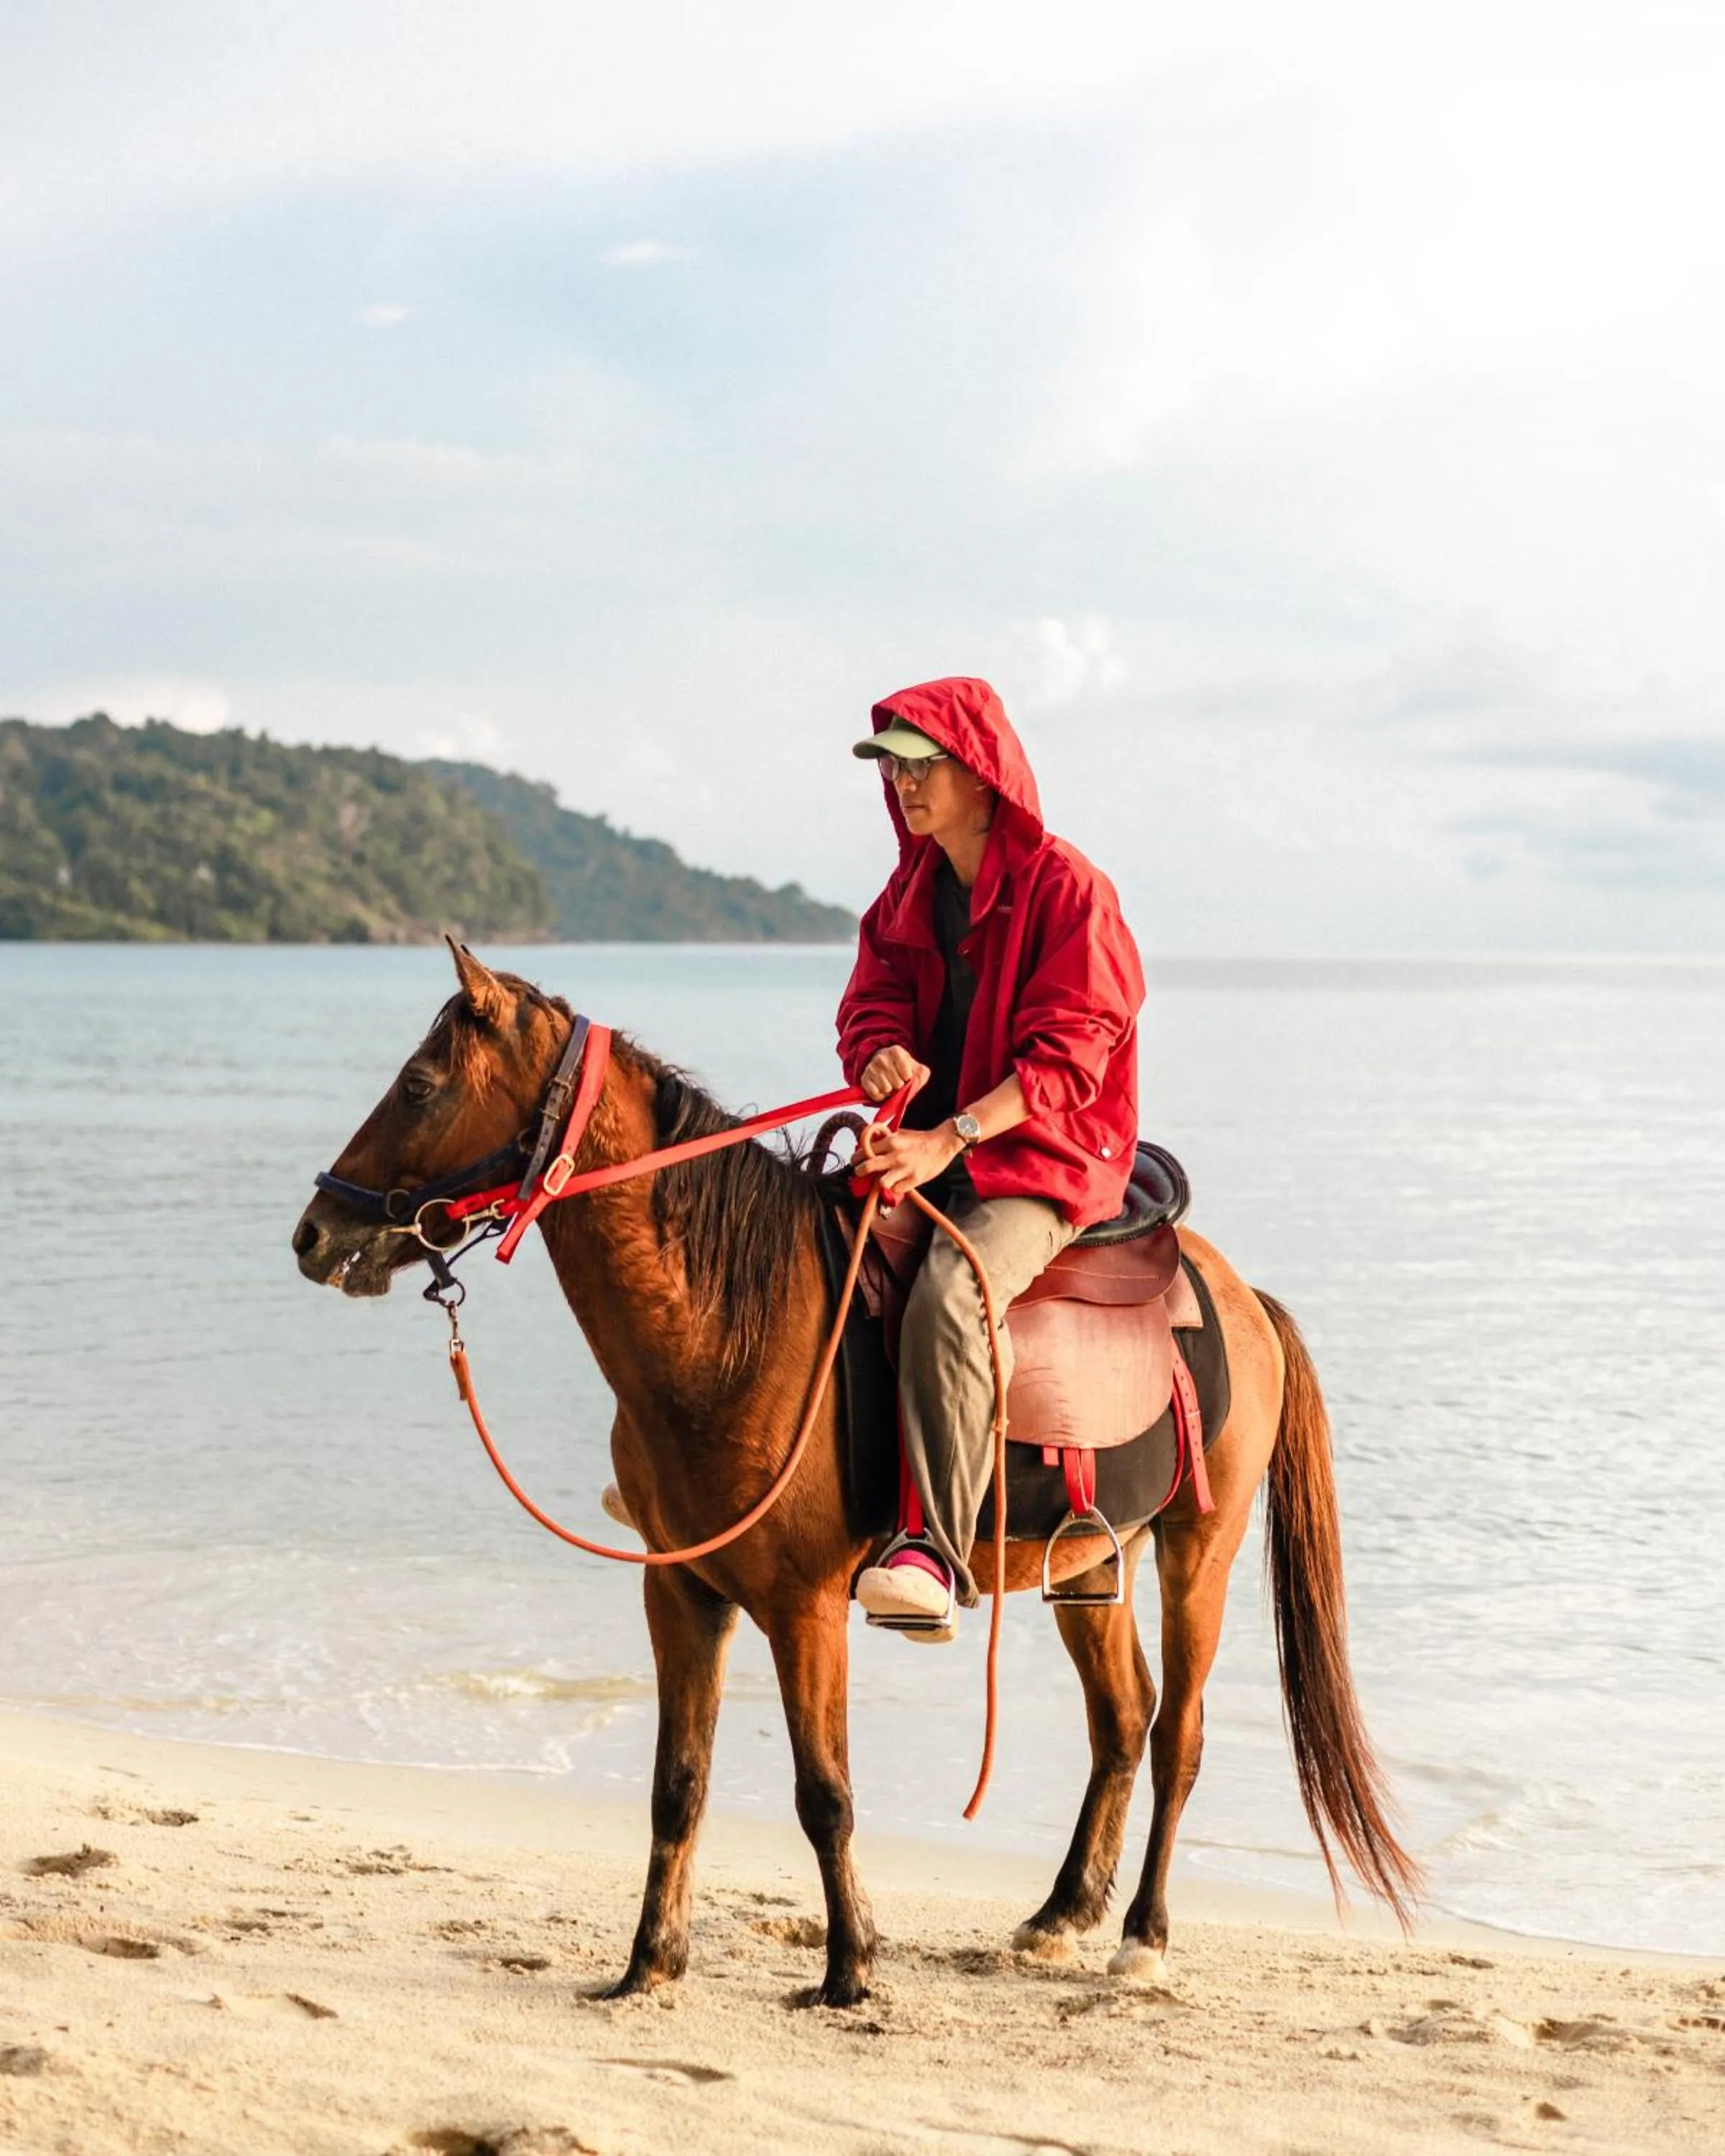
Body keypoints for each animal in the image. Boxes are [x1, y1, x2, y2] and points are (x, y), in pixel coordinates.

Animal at [291, 944, 1421, 2007]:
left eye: (421, 1086)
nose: (314, 1233)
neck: (734, 1328)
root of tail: (1237, 1294)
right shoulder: (682, 1592)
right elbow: (678, 1785)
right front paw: (649, 1964)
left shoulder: (803, 1606)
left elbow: (823, 1792)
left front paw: (849, 1970)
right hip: (1090, 1560)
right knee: (1121, 1721)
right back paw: (1060, 1913)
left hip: (1199, 1552)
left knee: (1179, 1731)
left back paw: (1142, 1936)